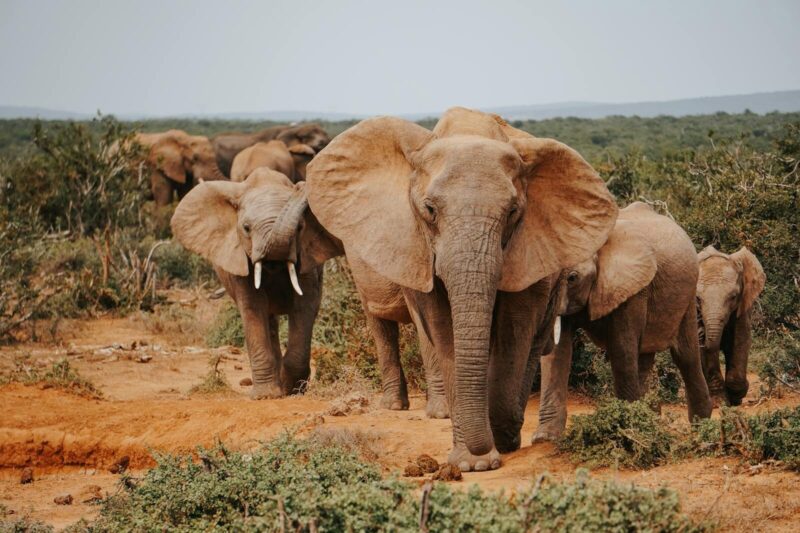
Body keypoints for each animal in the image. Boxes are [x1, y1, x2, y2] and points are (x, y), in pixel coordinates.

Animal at [171, 169, 340, 398]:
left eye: (300, 228)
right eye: (246, 228)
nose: (301, 186)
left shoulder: (307, 258)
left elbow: (305, 305)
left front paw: (292, 390)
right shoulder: (239, 260)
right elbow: (253, 307)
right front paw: (266, 395)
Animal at [306, 107, 617, 470]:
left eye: (513, 212)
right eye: (429, 210)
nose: (487, 450)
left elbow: (515, 327)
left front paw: (498, 443)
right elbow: (442, 330)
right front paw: (471, 463)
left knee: (535, 340)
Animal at [533, 202, 713, 442]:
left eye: (572, 278)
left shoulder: (633, 289)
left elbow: (621, 349)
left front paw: (626, 432)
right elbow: (557, 353)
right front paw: (545, 438)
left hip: (688, 295)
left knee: (685, 357)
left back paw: (700, 427)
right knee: (644, 358)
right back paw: (652, 421)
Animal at [697, 246, 766, 406]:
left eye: (733, 297)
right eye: (698, 299)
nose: (703, 334)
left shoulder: (743, 305)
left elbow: (741, 340)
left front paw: (737, 396)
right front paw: (719, 402)